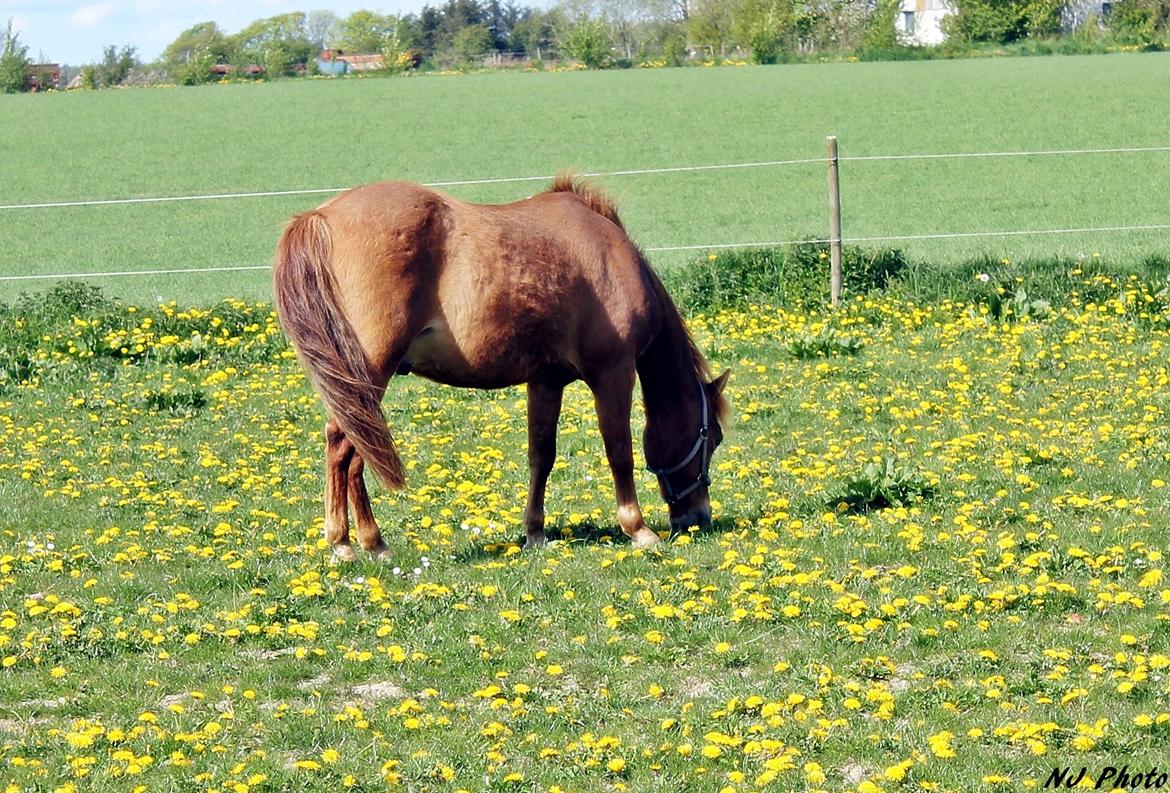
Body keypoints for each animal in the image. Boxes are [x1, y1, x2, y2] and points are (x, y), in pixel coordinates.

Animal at [277, 175, 725, 559]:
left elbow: (541, 454)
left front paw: (534, 532)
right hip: (366, 375)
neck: (608, 252)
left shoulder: (546, 380)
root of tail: (320, 217)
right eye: (714, 438)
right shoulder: (612, 372)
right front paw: (638, 529)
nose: (697, 518)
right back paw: (358, 543)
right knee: (345, 447)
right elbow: (619, 451)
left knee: (348, 449)